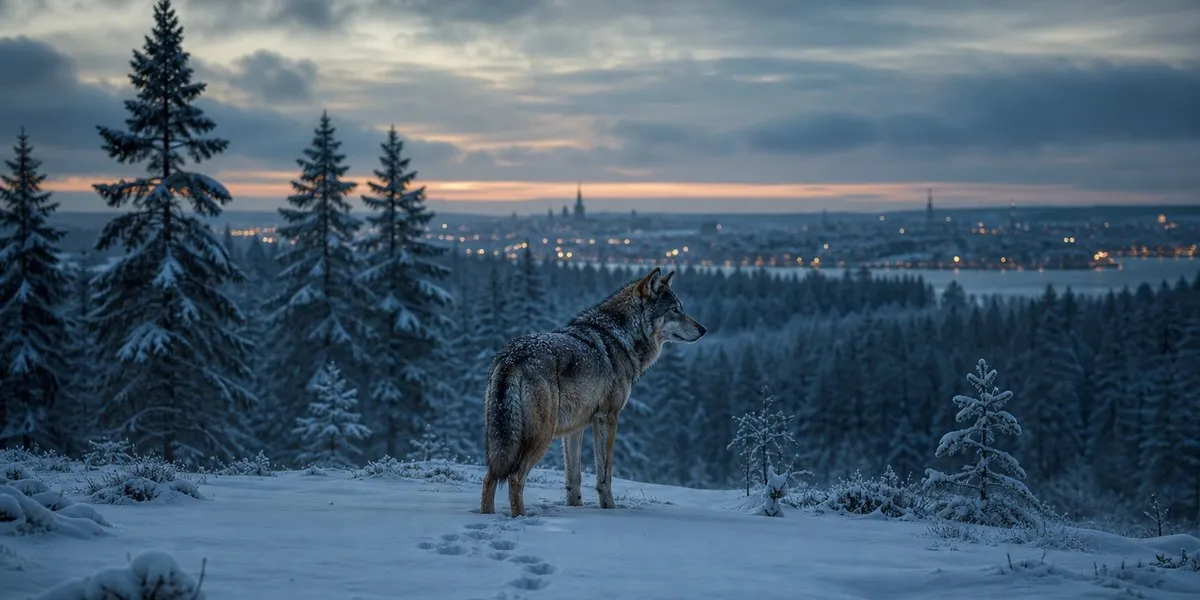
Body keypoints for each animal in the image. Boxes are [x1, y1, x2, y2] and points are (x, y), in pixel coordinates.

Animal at [480, 267, 706, 516]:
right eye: (675, 310)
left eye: (681, 309)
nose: (703, 329)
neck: (620, 337)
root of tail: (511, 358)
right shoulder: (607, 418)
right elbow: (605, 475)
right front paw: (609, 509)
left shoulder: (574, 428)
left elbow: (574, 478)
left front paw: (575, 508)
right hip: (542, 435)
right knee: (514, 478)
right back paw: (520, 517)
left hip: (503, 440)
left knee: (489, 477)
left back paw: (487, 515)